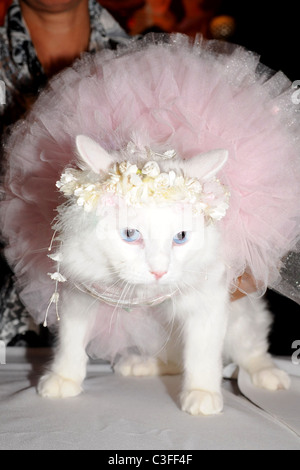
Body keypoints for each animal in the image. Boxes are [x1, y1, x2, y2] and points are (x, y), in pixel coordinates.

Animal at [36, 135, 290, 414]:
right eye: (130, 234)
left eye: (181, 237)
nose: (159, 271)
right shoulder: (78, 295)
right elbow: (70, 342)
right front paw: (63, 378)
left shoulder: (207, 304)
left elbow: (202, 354)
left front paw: (202, 393)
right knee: (176, 359)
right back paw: (141, 364)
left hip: (240, 320)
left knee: (252, 350)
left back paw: (269, 375)